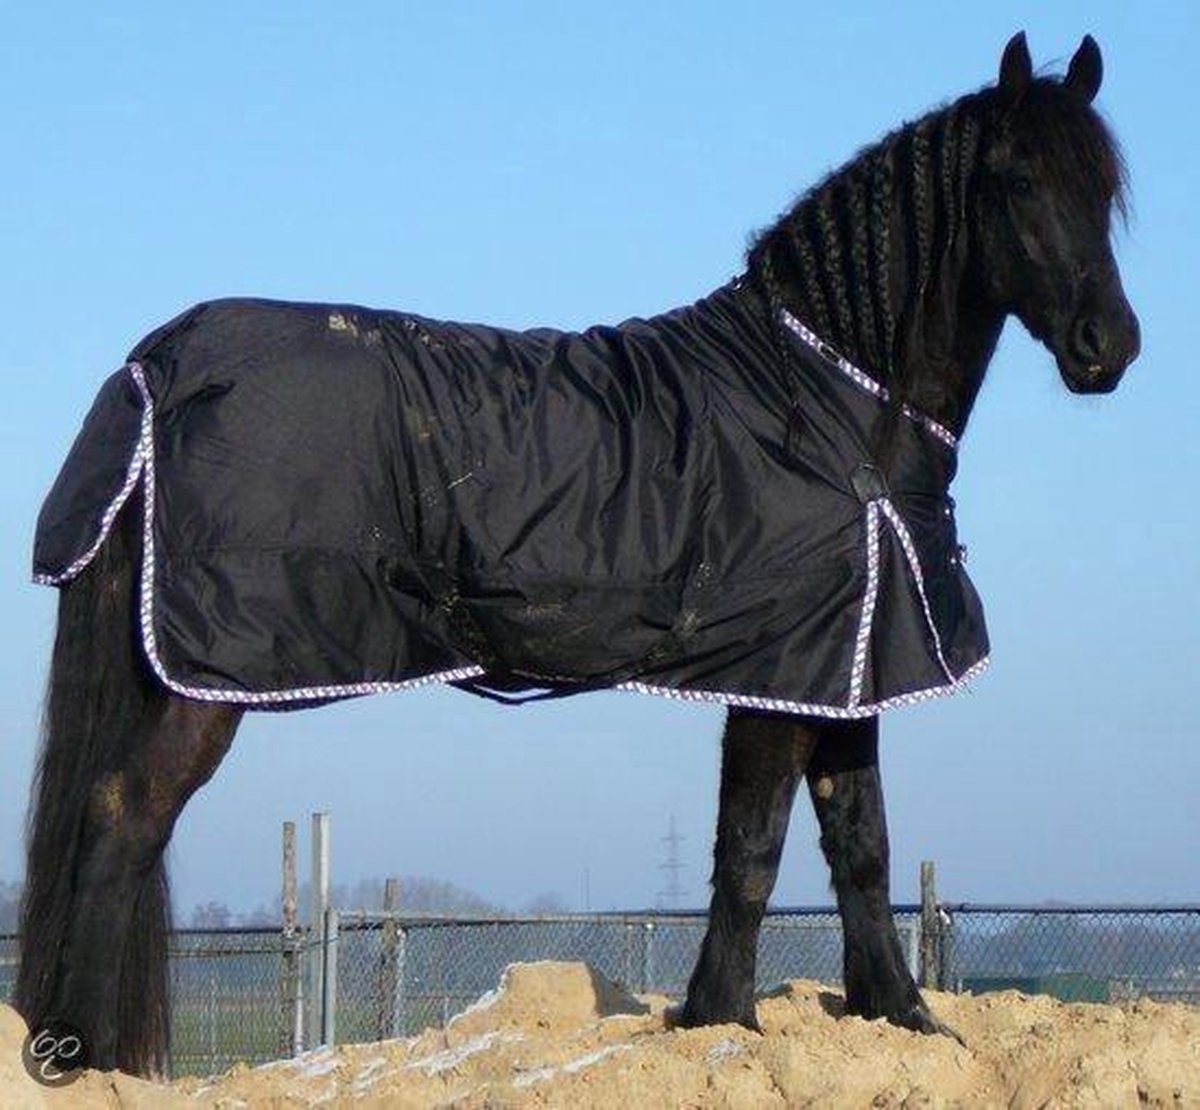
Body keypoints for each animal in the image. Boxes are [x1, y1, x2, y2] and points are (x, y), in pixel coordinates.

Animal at [17, 32, 1138, 1077]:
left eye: (1106, 193)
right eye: (1017, 180)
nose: (1109, 347)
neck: (827, 402)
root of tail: (161, 360)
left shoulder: (850, 665)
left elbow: (861, 845)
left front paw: (900, 1015)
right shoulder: (779, 675)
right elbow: (751, 851)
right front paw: (720, 1020)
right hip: (203, 676)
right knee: (122, 816)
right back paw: (87, 1057)